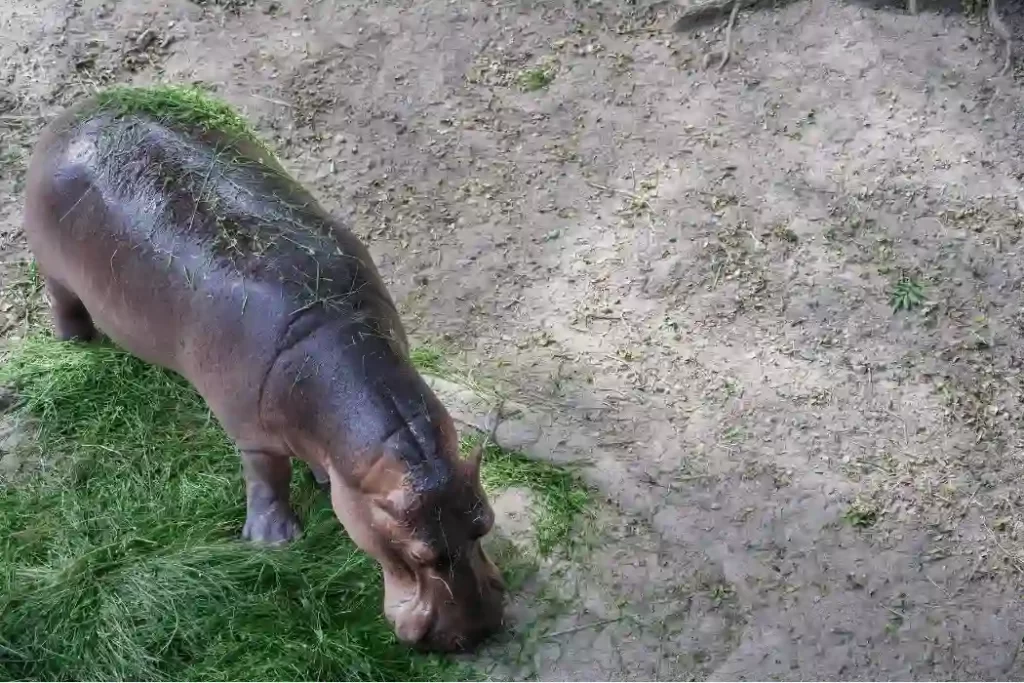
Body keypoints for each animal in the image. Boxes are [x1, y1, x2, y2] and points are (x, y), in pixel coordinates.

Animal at [21, 86, 505, 652]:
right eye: (417, 553)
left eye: (484, 523)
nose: (476, 633)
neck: (333, 333)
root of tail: (80, 110)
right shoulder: (250, 430)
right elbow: (267, 476)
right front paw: (275, 543)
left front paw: (320, 479)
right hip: (54, 269)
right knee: (62, 302)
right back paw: (76, 345)